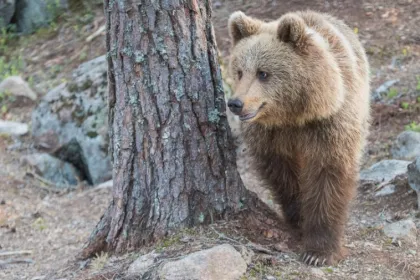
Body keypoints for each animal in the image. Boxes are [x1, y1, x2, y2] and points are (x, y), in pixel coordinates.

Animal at [226, 9, 370, 266]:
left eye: (263, 73)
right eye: (240, 71)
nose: (235, 103)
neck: (294, 115)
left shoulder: (329, 126)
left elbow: (328, 176)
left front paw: (318, 251)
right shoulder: (269, 136)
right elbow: (282, 176)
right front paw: (298, 218)